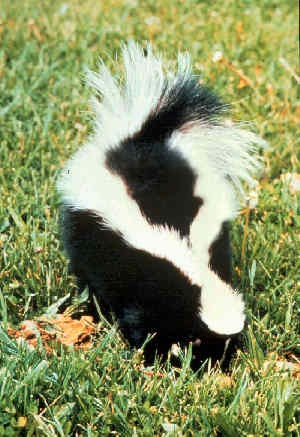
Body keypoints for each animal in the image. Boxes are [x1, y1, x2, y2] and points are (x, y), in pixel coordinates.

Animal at [56, 41, 262, 368]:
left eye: (229, 344)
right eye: (197, 339)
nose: (215, 365)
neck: (192, 269)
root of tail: (141, 140)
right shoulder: (144, 285)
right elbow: (139, 320)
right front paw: (148, 352)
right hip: (85, 229)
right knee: (85, 269)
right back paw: (90, 303)